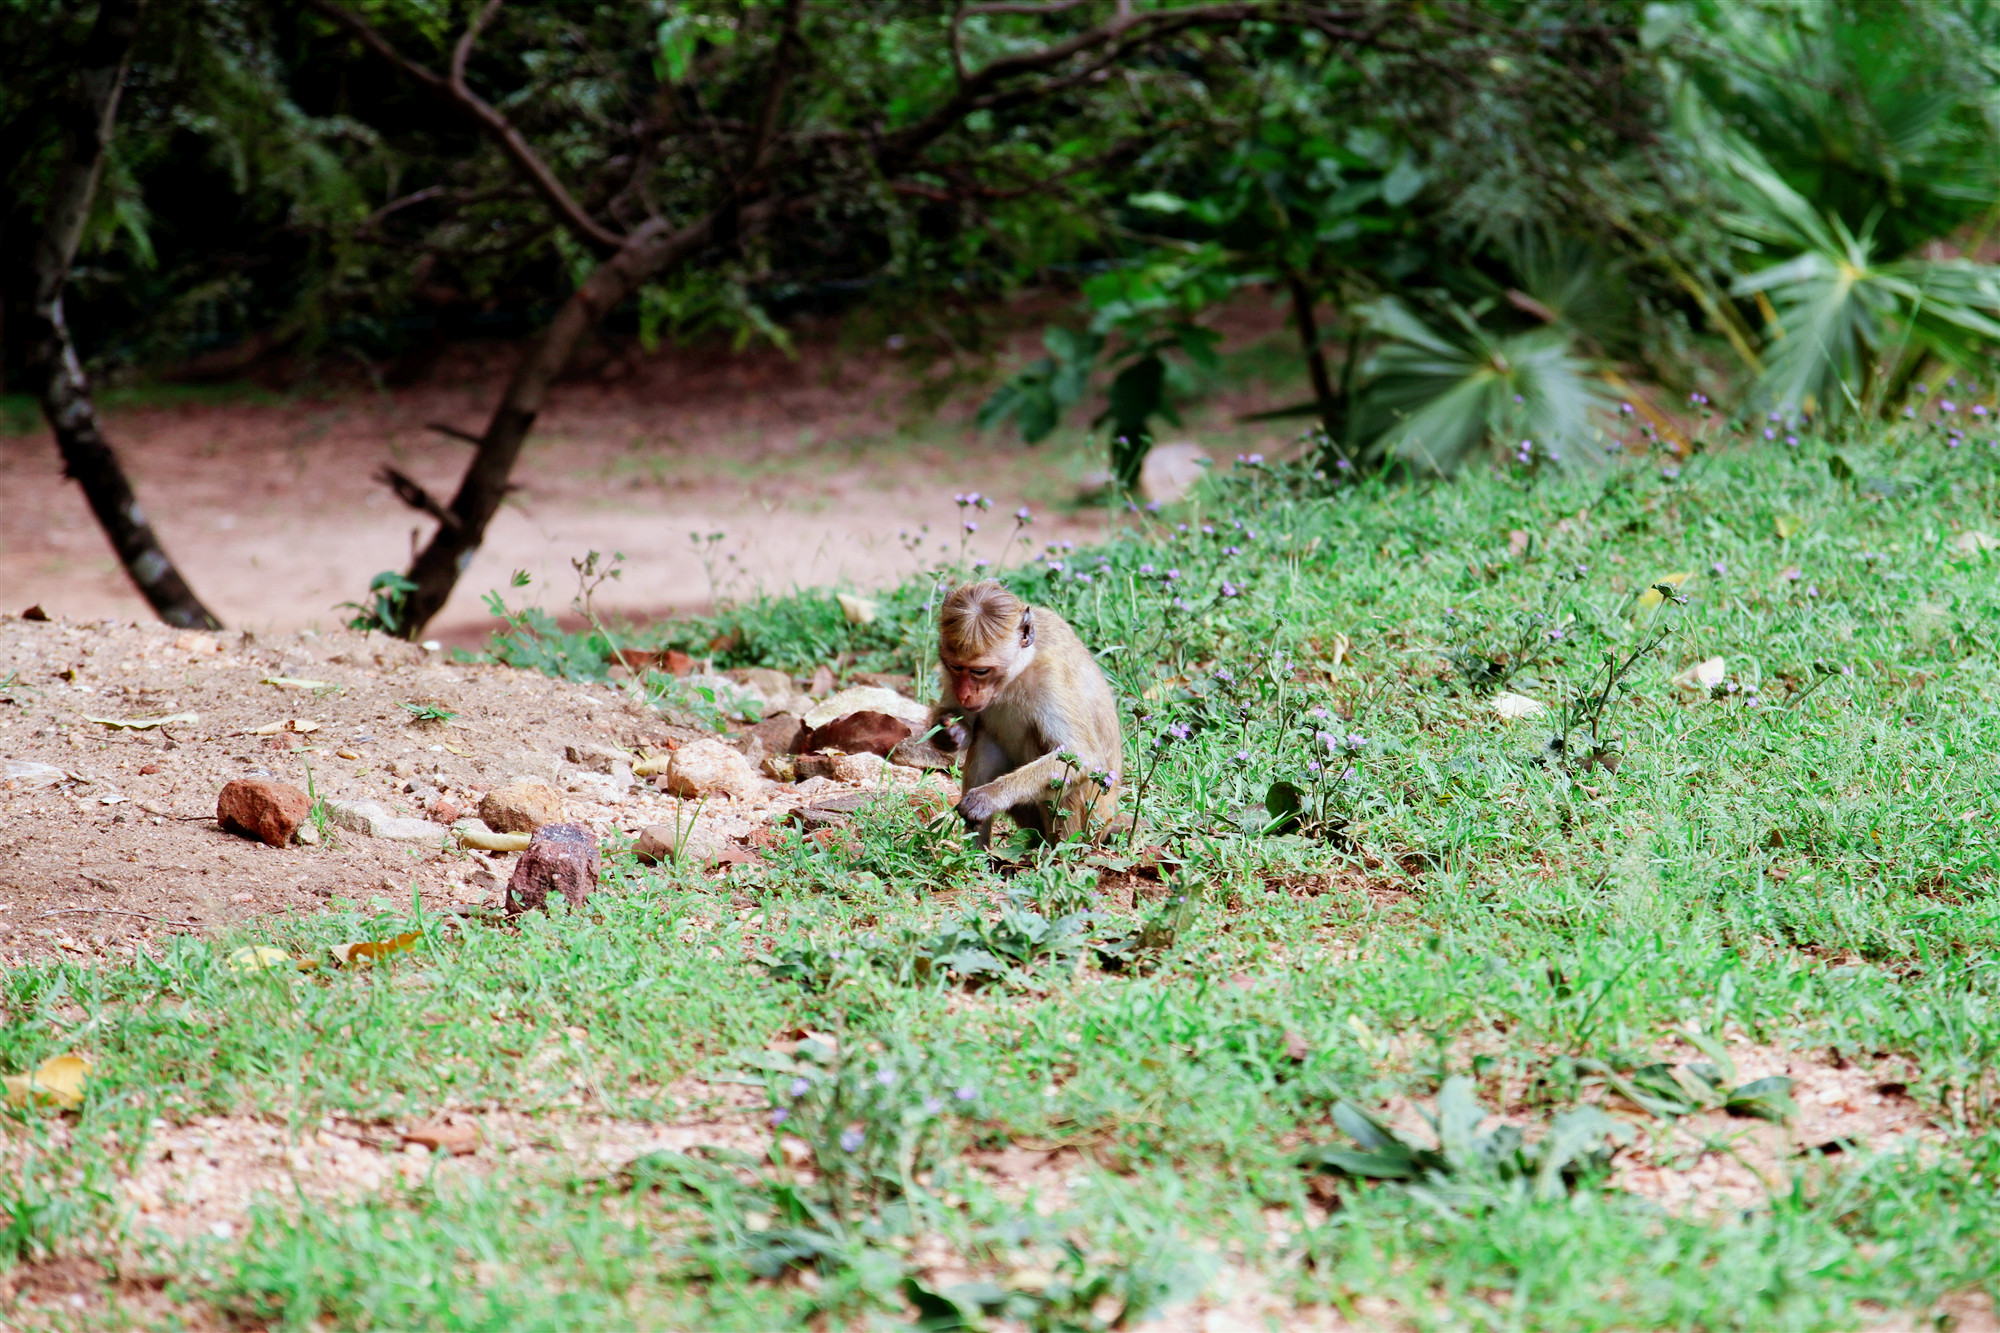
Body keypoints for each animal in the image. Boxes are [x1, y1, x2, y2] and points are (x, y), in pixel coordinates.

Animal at [924, 580, 1128, 844]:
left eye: (980, 671)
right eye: (956, 667)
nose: (965, 694)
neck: (1017, 673)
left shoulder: (1050, 678)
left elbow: (1082, 757)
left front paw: (988, 797)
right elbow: (961, 719)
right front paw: (950, 733)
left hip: (1094, 819)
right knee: (985, 738)